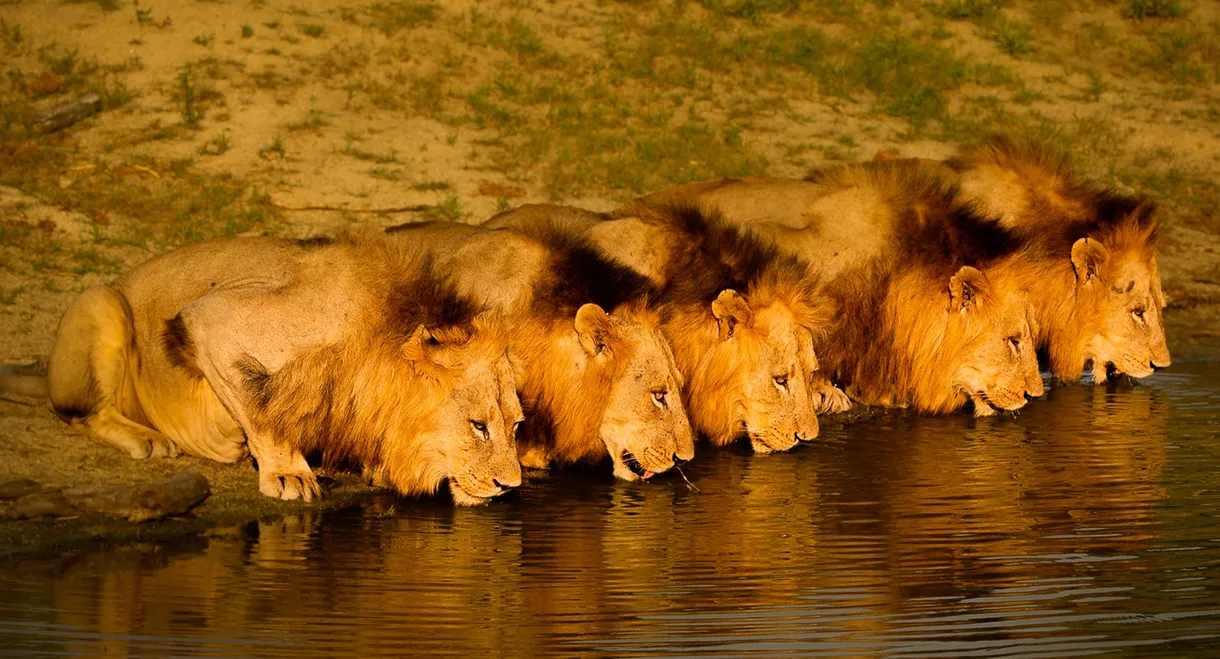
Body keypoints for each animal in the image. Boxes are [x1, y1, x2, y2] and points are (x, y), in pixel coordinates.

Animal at [42, 234, 523, 504]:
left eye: (517, 425)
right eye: (478, 426)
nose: (511, 486)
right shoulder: (212, 319)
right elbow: (262, 410)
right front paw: (288, 473)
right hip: (104, 302)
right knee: (83, 415)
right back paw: (150, 439)